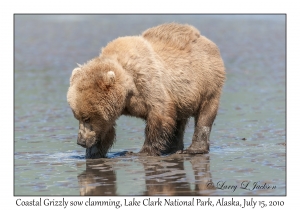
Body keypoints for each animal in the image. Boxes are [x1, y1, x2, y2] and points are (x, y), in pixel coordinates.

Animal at [67, 22, 225, 158]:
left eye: (87, 117)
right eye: (77, 116)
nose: (80, 141)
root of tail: (206, 40)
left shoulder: (147, 80)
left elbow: (159, 113)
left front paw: (143, 151)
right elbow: (105, 128)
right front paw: (93, 152)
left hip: (207, 81)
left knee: (205, 114)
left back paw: (194, 149)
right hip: (183, 96)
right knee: (179, 121)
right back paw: (173, 148)